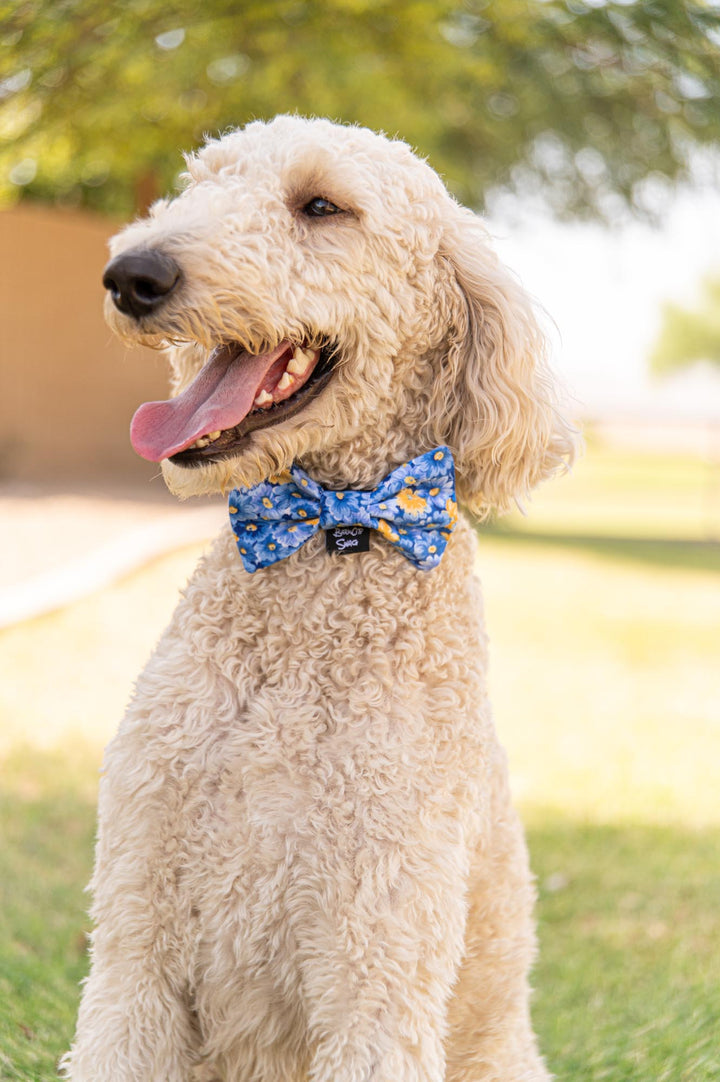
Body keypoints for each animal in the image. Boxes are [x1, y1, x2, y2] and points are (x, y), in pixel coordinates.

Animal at [64, 116, 576, 1082]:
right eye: (199, 185)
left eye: (322, 206)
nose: (131, 274)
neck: (322, 539)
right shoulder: (135, 941)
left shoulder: (377, 961)